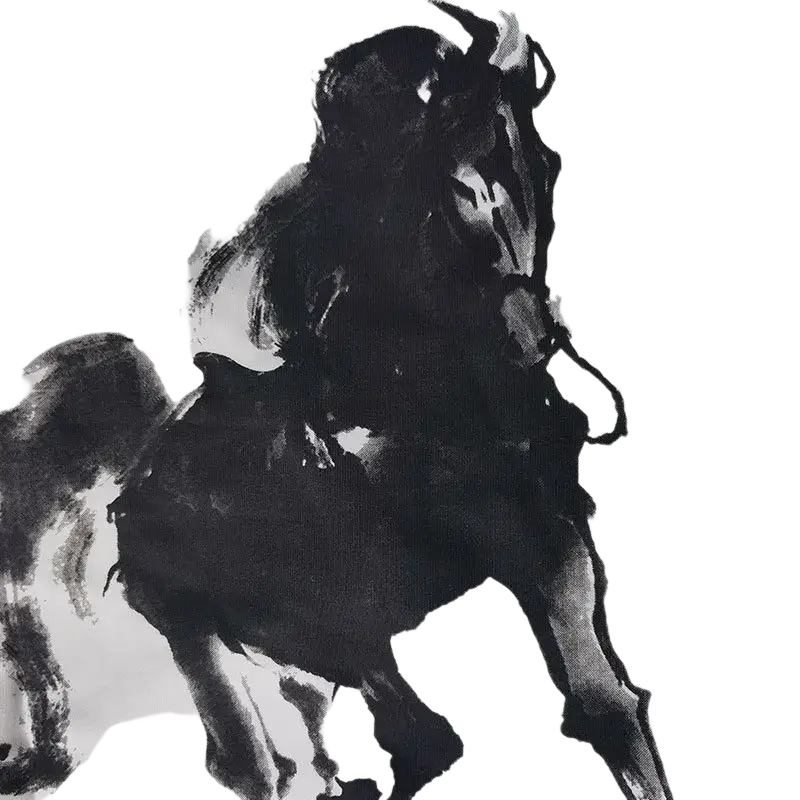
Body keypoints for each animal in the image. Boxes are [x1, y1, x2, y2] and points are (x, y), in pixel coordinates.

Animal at [106, 6, 673, 800]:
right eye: (453, 192)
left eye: (547, 165)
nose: (532, 341)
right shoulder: (455, 556)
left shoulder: (553, 534)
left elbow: (608, 705)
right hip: (220, 627)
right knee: (271, 756)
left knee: (382, 741)